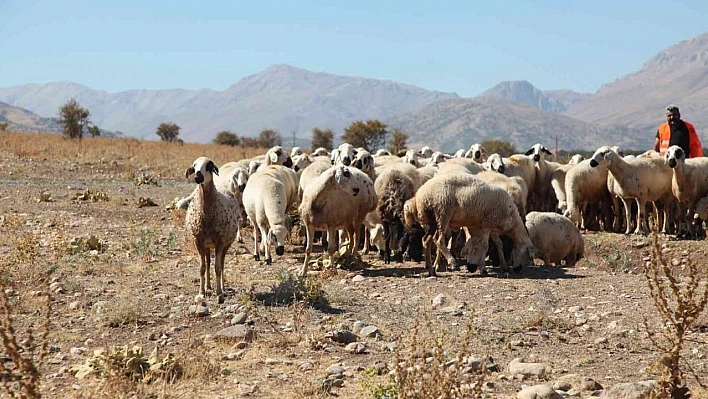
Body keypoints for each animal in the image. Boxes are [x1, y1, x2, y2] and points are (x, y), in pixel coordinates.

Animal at [185, 156, 241, 304]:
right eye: (194, 166)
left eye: (209, 166)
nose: (197, 176)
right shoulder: (198, 241)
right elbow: (202, 267)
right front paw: (201, 293)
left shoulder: (220, 242)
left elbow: (218, 268)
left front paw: (219, 294)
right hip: (207, 245)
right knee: (208, 263)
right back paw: (208, 287)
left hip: (227, 243)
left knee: (221, 264)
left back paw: (222, 288)